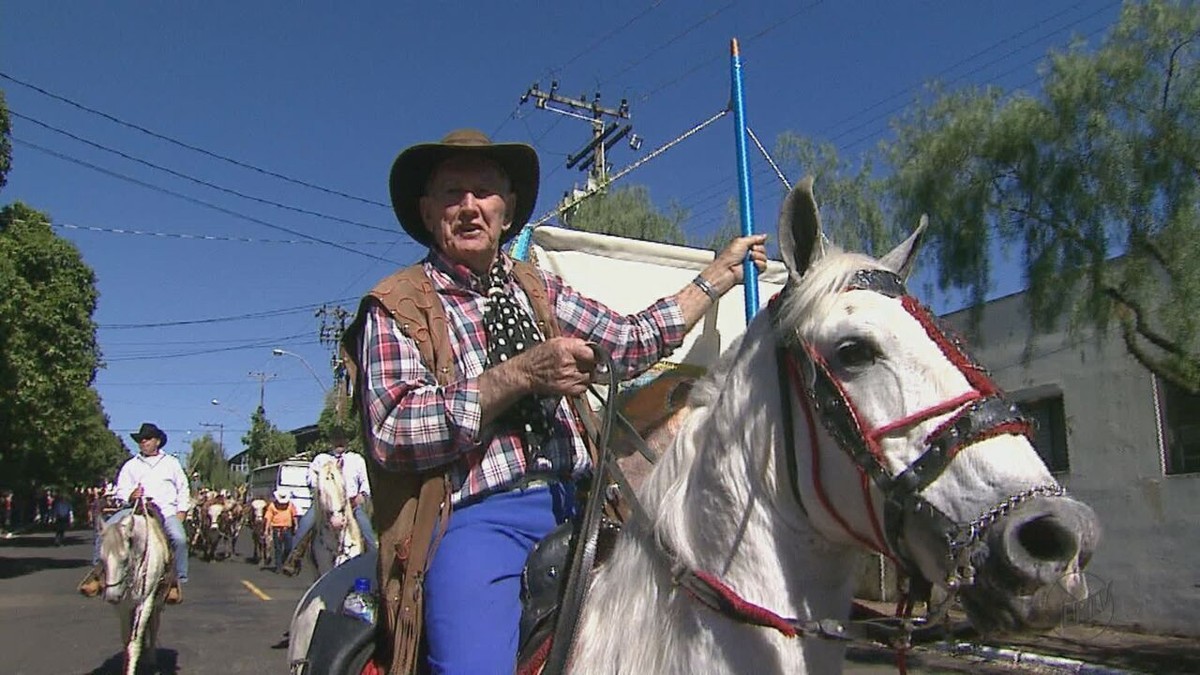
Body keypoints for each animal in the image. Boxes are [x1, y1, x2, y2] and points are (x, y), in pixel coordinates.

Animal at [99, 499, 171, 672]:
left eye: (125, 559)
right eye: (102, 560)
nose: (112, 596)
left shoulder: (145, 602)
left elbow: (135, 643)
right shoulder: (123, 606)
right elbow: (126, 640)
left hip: (157, 603)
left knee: (154, 626)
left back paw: (151, 659)